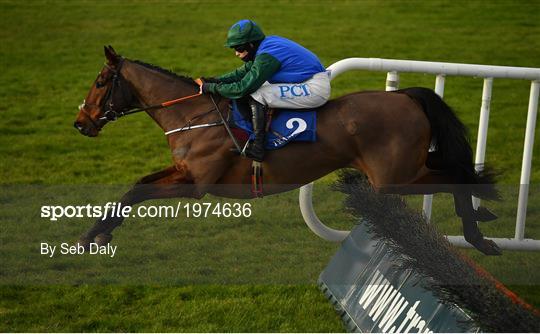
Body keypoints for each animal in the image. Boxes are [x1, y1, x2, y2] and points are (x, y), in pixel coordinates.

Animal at [74, 45, 500, 256]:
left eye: (101, 81)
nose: (81, 122)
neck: (192, 113)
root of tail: (406, 97)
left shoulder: (195, 183)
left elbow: (137, 191)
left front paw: (92, 237)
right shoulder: (182, 171)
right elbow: (133, 188)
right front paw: (96, 234)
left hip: (394, 178)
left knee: (458, 177)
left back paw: (479, 235)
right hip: (407, 169)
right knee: (457, 173)